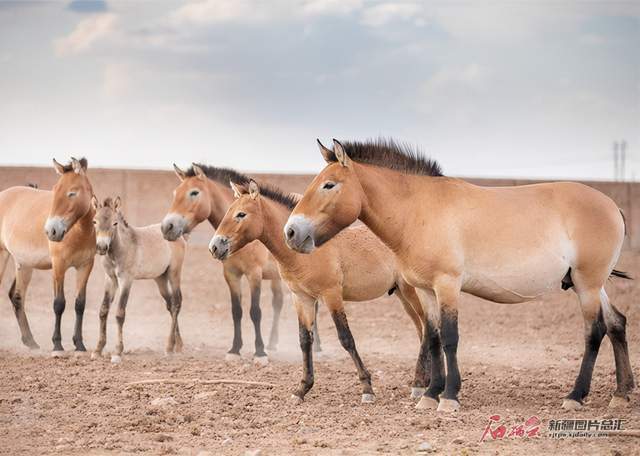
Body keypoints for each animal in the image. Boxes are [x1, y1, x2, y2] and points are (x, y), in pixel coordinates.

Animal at [0, 159, 95, 354]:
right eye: (55, 190)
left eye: (72, 193)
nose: (52, 231)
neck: (79, 231)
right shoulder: (58, 266)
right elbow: (59, 304)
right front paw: (57, 344)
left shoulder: (85, 266)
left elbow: (80, 304)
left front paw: (79, 344)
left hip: (24, 264)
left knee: (17, 297)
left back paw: (31, 342)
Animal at [90, 196, 185, 364]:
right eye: (94, 221)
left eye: (115, 223)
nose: (101, 247)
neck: (120, 249)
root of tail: (179, 235)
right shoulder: (110, 279)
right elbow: (103, 310)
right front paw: (97, 350)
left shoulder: (126, 280)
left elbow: (119, 313)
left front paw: (117, 352)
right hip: (160, 278)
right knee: (170, 305)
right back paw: (178, 346)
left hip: (174, 273)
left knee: (176, 304)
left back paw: (169, 347)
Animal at [161, 164, 288, 364]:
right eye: (175, 193)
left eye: (194, 192)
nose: (167, 227)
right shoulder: (231, 275)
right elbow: (236, 311)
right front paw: (235, 350)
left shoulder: (254, 274)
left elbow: (255, 312)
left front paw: (259, 353)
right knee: (279, 301)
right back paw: (273, 343)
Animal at [211, 178, 430, 402]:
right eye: (229, 211)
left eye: (241, 214)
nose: (215, 247)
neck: (305, 253)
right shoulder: (302, 298)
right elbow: (305, 340)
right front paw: (302, 388)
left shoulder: (331, 295)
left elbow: (346, 339)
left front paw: (367, 388)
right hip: (403, 295)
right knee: (422, 330)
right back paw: (424, 382)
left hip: (413, 293)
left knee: (427, 330)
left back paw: (421, 385)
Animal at [286, 139, 636, 414]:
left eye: (329, 184)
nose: (291, 231)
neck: (419, 210)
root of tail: (612, 206)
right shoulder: (426, 290)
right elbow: (433, 338)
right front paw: (430, 394)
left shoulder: (448, 285)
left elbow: (450, 338)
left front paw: (450, 397)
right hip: (590, 284)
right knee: (616, 323)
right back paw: (621, 394)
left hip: (587, 285)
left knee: (594, 331)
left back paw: (576, 396)